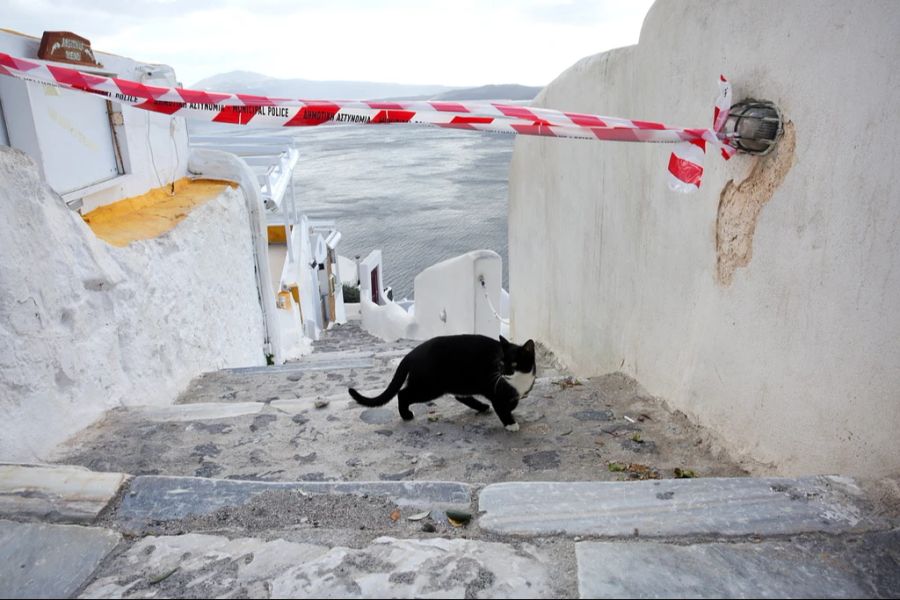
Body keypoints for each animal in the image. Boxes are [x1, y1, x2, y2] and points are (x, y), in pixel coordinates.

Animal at [348, 336, 536, 428]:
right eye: (501, 364)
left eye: (514, 364)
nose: (503, 373)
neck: (518, 381)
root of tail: (411, 354)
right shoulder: (495, 390)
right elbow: (502, 408)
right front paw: (510, 424)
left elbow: (512, 404)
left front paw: (511, 409)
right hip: (430, 387)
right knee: (403, 393)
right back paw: (406, 415)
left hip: (459, 381)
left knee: (460, 396)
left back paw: (482, 407)